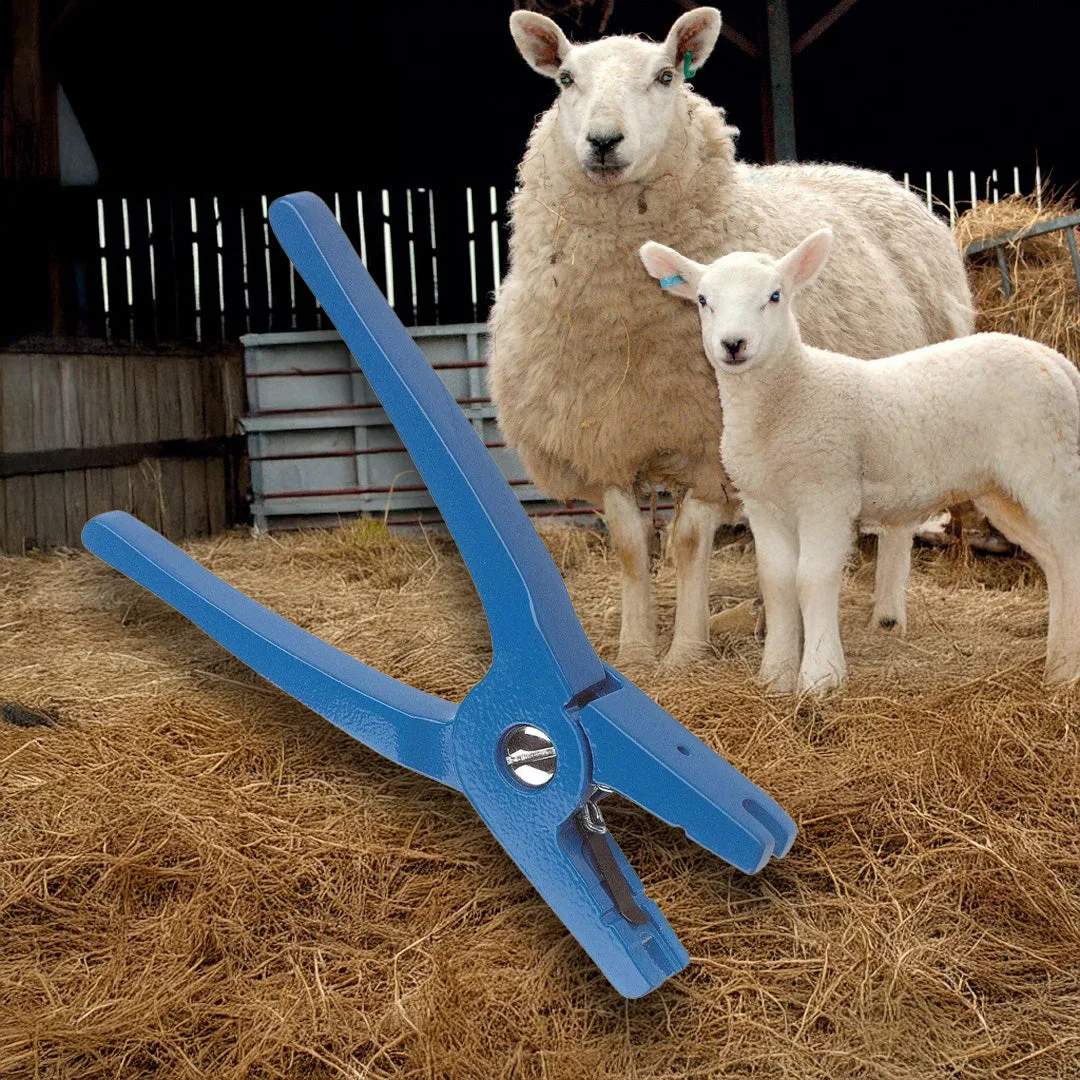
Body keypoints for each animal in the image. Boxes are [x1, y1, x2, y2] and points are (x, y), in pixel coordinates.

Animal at [488, 6, 974, 670]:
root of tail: (871, 177)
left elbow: (690, 543)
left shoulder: (706, 444)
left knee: (897, 519)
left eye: (666, 76)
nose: (604, 142)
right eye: (565, 79)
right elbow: (631, 545)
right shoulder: (604, 435)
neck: (626, 324)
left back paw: (886, 615)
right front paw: (635, 649)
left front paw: (686, 650)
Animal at [640, 228, 1080, 693]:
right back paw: (1057, 667)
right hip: (1003, 491)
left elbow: (813, 578)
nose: (733, 344)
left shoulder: (827, 493)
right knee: (1055, 562)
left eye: (775, 296)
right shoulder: (764, 503)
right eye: (703, 299)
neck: (791, 395)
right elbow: (777, 583)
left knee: (1070, 551)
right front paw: (775, 677)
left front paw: (820, 678)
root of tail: (1057, 362)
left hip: (1047, 470)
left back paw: (1068, 670)